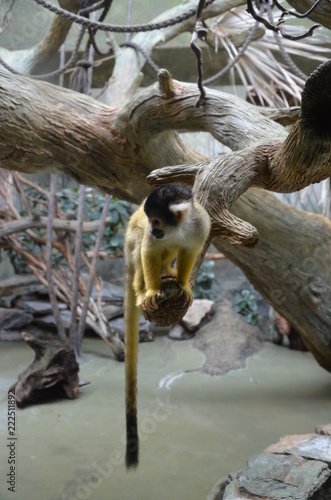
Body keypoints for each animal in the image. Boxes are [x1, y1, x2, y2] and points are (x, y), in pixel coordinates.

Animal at [123, 183, 211, 468]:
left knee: (171, 249)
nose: (153, 229)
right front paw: (150, 291)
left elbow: (190, 250)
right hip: (129, 250)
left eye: (157, 221)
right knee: (139, 244)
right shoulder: (152, 239)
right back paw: (141, 288)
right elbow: (148, 250)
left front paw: (183, 284)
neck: (178, 228)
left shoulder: (201, 224)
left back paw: (167, 272)